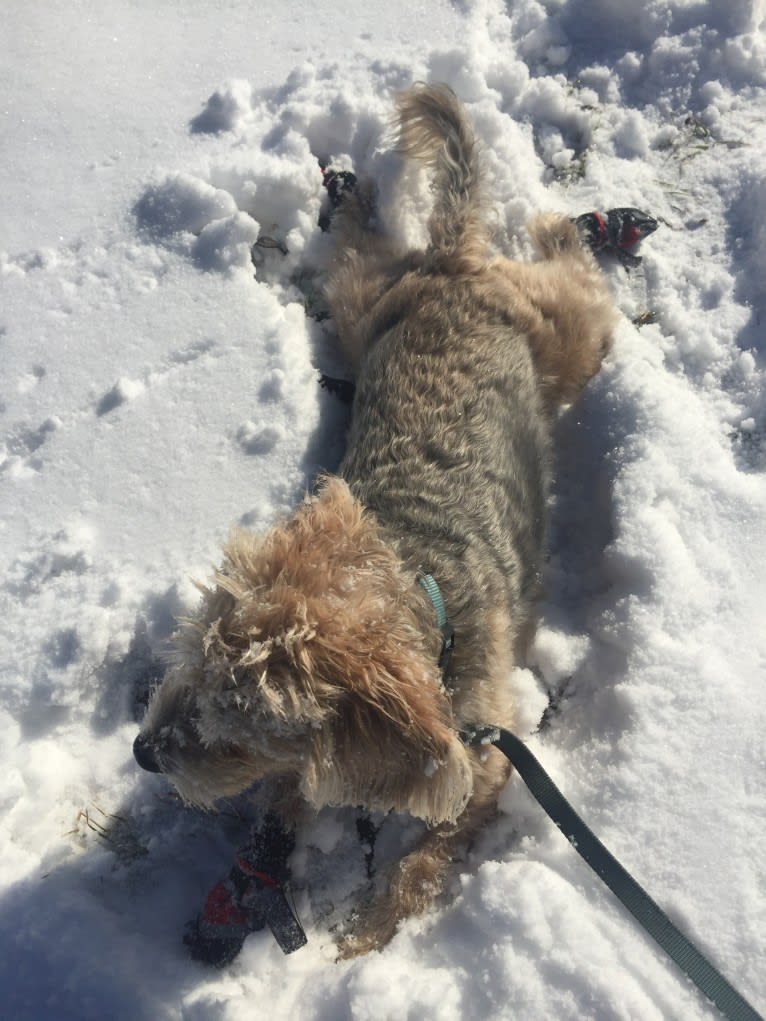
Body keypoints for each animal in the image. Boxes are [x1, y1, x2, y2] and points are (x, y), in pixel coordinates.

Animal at [134, 81, 620, 955]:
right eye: (194, 661)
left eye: (242, 729)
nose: (143, 751)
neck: (424, 589)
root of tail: (458, 263)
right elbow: (291, 798)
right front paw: (261, 868)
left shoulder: (484, 763)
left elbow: (417, 866)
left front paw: (361, 941)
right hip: (367, 308)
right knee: (367, 248)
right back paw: (349, 193)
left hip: (566, 341)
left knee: (574, 275)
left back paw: (576, 224)